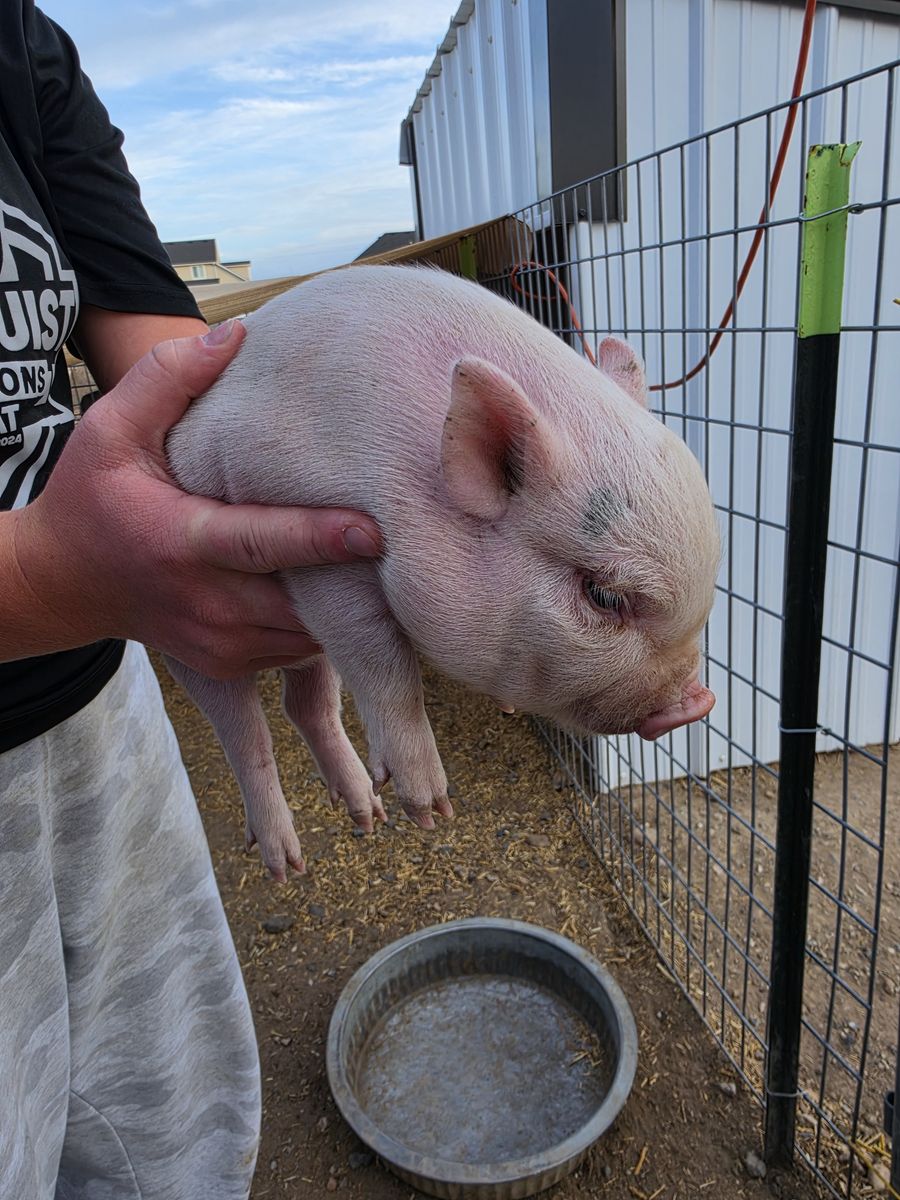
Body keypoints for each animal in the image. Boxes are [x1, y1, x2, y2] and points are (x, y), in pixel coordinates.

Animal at [165, 265, 720, 881]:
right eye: (603, 595)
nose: (698, 703)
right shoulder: (312, 533)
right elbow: (379, 655)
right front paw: (432, 812)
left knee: (306, 705)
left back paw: (367, 816)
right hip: (185, 636)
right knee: (243, 733)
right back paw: (288, 864)